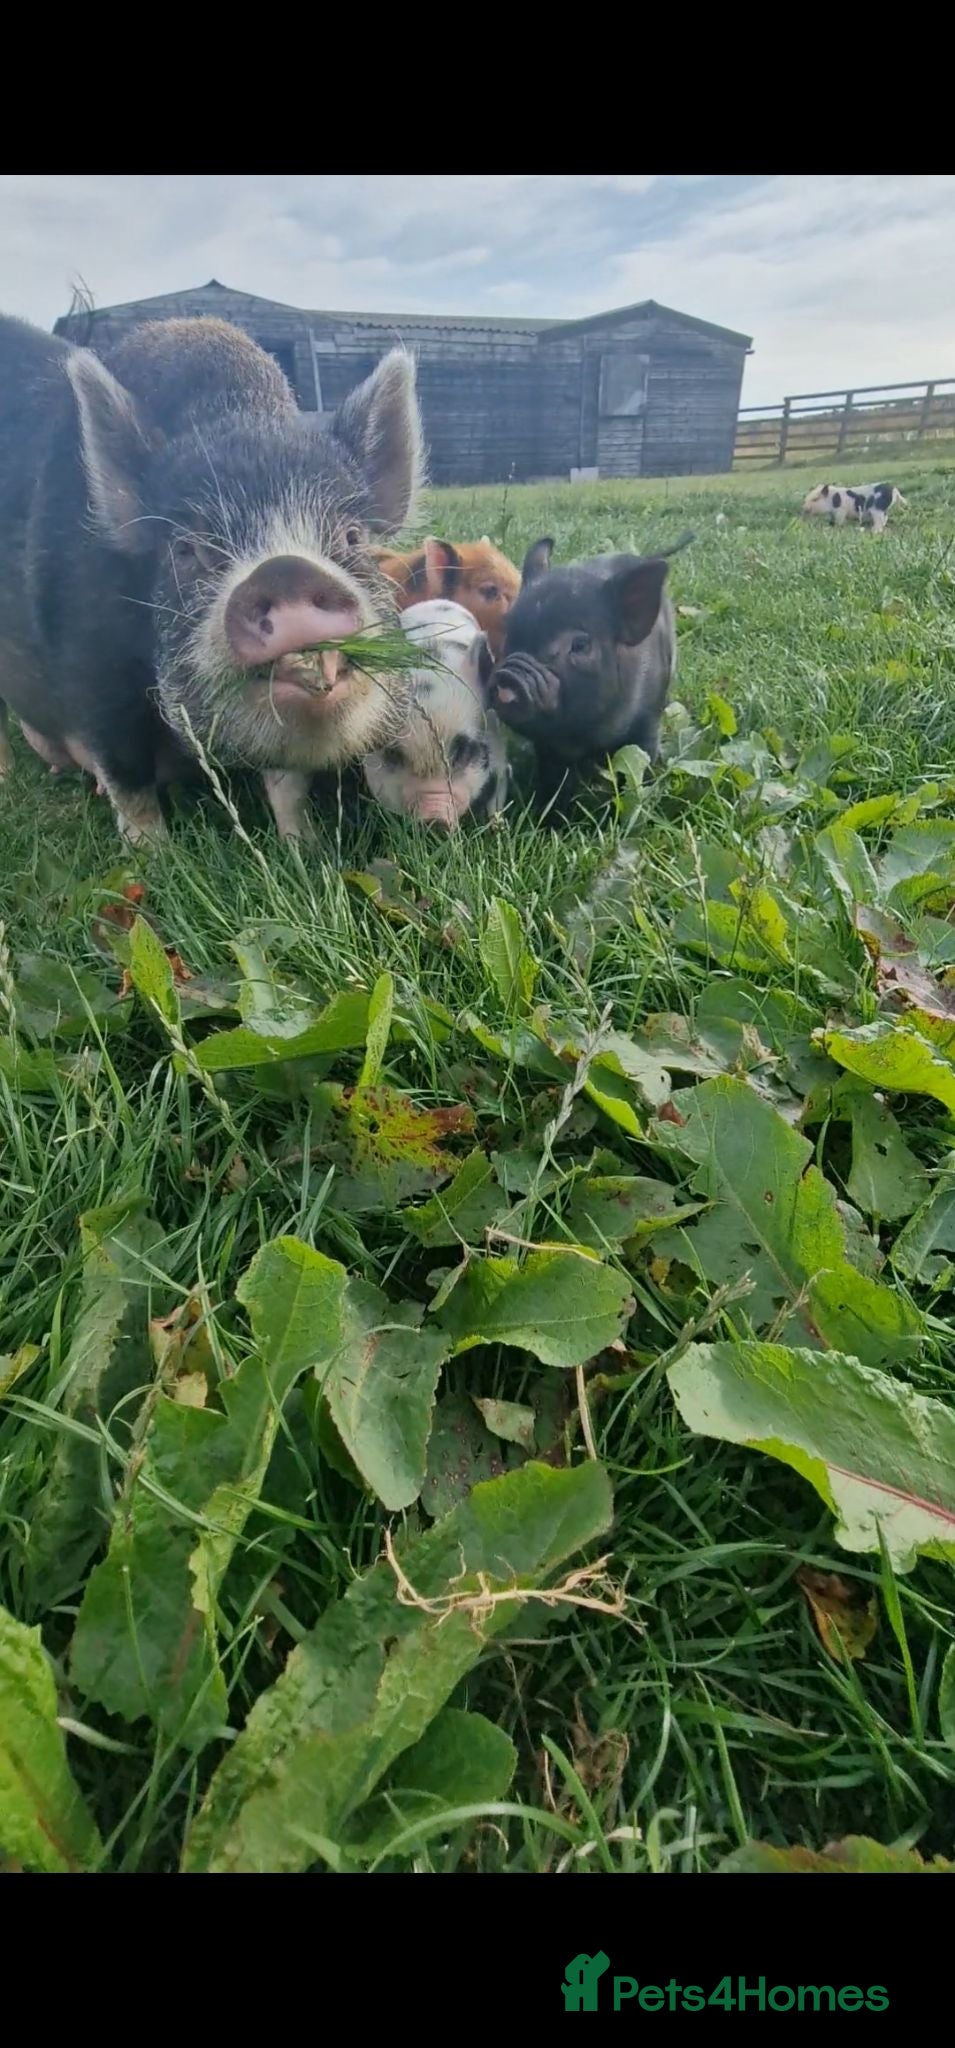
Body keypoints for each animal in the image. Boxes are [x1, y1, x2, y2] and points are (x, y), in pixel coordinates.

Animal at [0, 312, 423, 842]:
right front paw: (155, 855)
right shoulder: (92, 671)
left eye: (352, 536)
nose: (285, 569)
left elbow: (287, 782)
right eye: (186, 550)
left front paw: (305, 847)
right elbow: (126, 777)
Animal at [488, 534, 687, 818]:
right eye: (509, 632)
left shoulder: (647, 725)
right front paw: (551, 821)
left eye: (580, 645)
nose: (509, 674)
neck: (585, 736)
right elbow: (554, 784)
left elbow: (638, 775)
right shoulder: (548, 747)